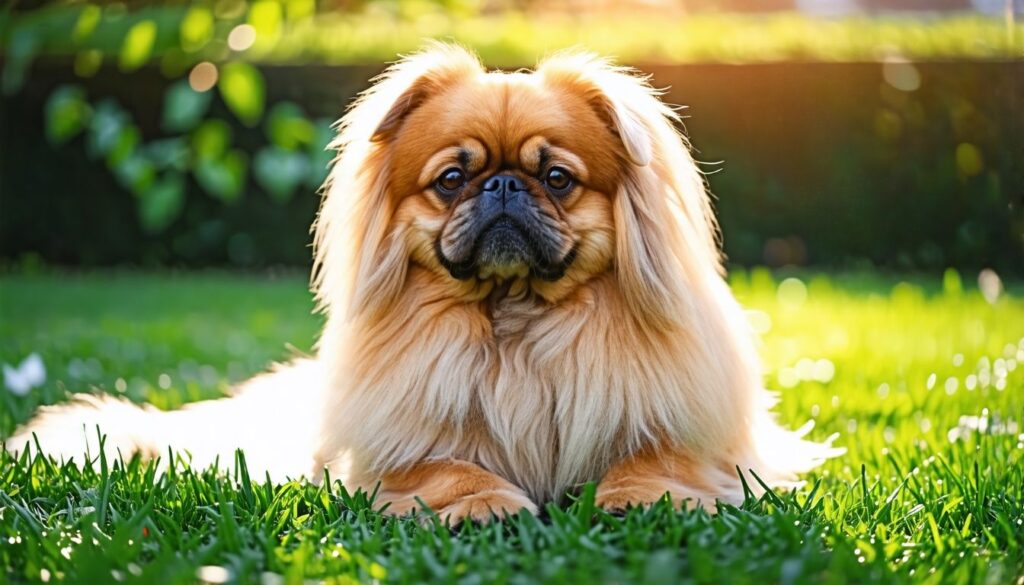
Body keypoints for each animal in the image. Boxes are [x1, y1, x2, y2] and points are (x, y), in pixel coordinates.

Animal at [9, 44, 839, 522]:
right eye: (451, 179)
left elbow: (658, 458)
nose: (502, 186)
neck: (514, 328)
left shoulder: (702, 438)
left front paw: (645, 498)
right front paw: (488, 504)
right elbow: (445, 467)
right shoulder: (392, 453)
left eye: (557, 179)